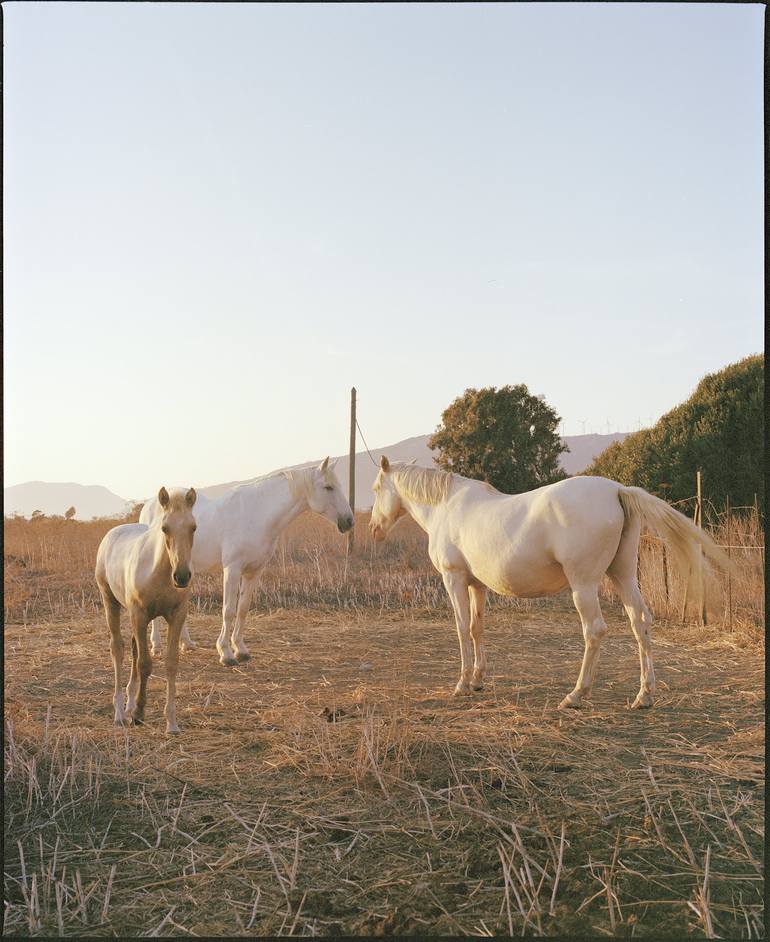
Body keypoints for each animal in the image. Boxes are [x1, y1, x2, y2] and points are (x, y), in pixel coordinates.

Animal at [95, 486, 196, 736]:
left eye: (193, 527)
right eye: (165, 527)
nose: (182, 576)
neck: (159, 572)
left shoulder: (177, 615)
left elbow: (171, 663)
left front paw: (171, 723)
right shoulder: (139, 615)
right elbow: (145, 663)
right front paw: (139, 714)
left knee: (132, 648)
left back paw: (129, 703)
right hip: (110, 602)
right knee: (118, 649)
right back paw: (120, 713)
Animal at [140, 460, 352, 668]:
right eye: (328, 487)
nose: (349, 521)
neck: (256, 514)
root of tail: (148, 505)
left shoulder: (254, 572)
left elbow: (242, 609)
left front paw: (240, 649)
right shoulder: (232, 569)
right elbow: (228, 611)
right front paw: (225, 653)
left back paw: (187, 644)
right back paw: (156, 646)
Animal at [368, 460, 728, 712]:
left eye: (375, 489)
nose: (373, 529)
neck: (446, 506)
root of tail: (617, 490)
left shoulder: (453, 579)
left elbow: (460, 629)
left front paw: (462, 684)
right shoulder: (476, 586)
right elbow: (476, 628)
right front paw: (478, 679)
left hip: (584, 585)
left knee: (594, 630)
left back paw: (576, 695)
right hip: (623, 575)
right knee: (640, 622)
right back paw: (644, 695)